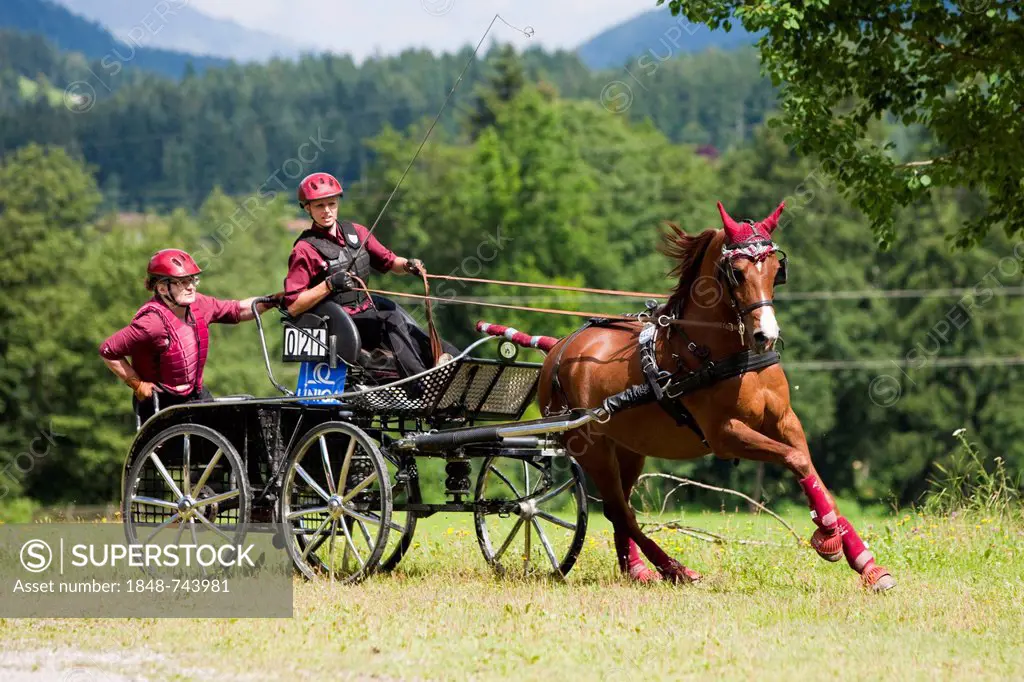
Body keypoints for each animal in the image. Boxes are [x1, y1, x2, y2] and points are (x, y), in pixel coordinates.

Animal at [536, 200, 897, 589]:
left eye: (776, 270)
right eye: (736, 272)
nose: (766, 335)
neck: (722, 355)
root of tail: (557, 350)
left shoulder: (785, 421)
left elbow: (809, 468)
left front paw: (865, 562)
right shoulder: (725, 434)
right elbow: (796, 460)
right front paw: (827, 535)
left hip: (629, 449)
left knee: (621, 508)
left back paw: (637, 569)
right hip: (592, 449)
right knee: (619, 509)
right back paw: (674, 568)